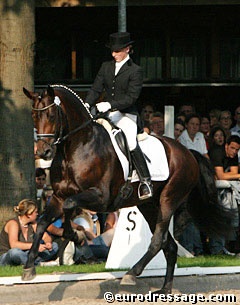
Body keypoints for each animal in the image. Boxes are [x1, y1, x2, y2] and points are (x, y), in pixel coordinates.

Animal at [22, 85, 232, 292]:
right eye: (33, 115)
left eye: (51, 115)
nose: (43, 152)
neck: (75, 147)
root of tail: (187, 152)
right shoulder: (58, 197)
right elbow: (44, 221)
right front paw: (29, 267)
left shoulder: (100, 197)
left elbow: (70, 204)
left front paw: (75, 234)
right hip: (148, 205)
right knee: (169, 245)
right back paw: (164, 289)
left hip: (168, 199)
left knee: (158, 240)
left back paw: (132, 273)